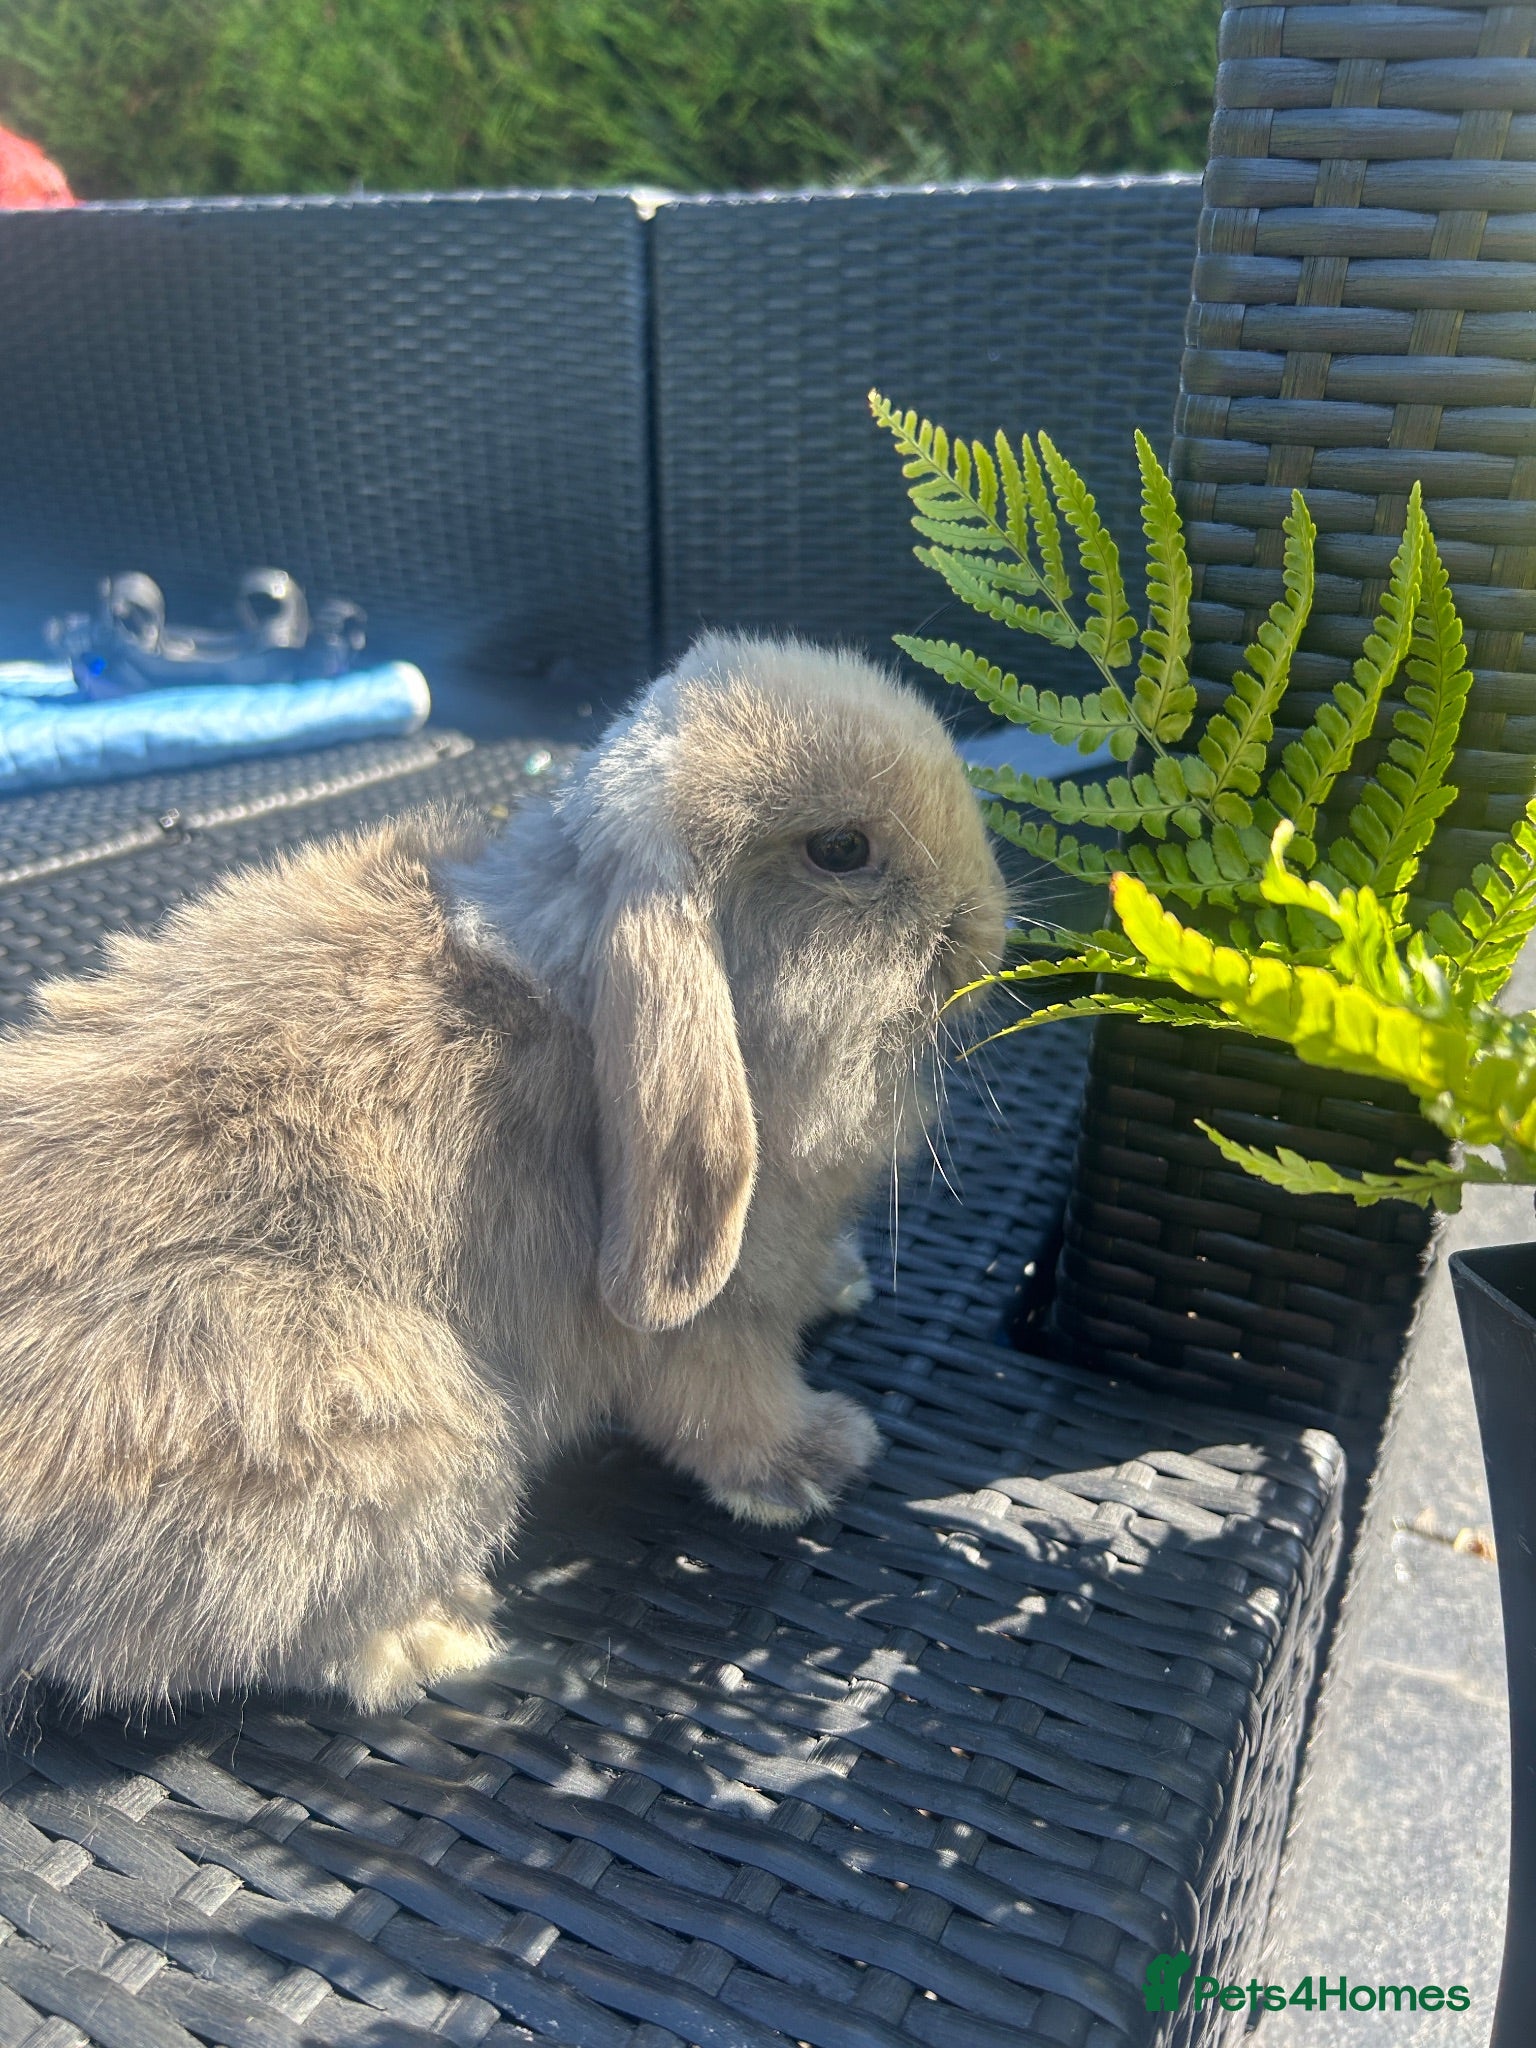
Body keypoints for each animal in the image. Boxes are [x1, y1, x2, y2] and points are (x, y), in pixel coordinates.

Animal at [0, 631, 1007, 1719]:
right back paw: (446, 1635)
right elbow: (726, 1406)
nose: (988, 927)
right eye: (841, 850)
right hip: (394, 1435)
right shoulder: (710, 1323)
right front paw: (820, 1457)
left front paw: (845, 1285)